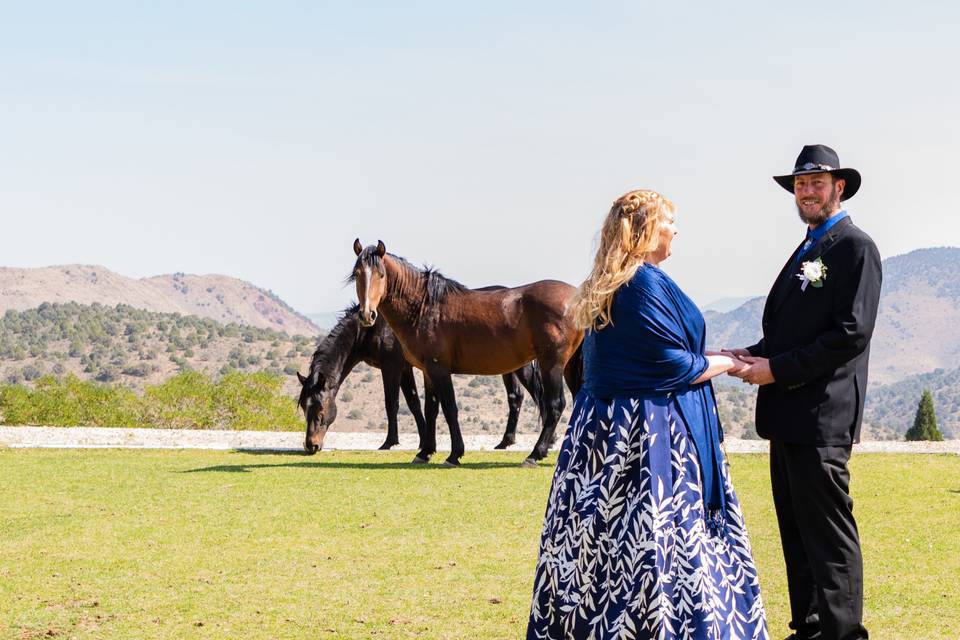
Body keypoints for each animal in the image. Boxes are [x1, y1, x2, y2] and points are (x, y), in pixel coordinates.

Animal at [296, 304, 544, 456]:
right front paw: (424, 441)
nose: (311, 445)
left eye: (320, 412)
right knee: (516, 397)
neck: (371, 328)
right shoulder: (406, 370)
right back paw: (505, 441)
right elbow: (415, 404)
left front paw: (389, 442)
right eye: (304, 409)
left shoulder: (392, 367)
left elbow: (392, 404)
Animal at [350, 239, 580, 464]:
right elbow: (431, 409)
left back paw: (535, 454)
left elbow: (450, 408)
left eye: (381, 274)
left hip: (552, 364)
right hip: (568, 366)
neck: (424, 307)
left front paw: (454, 454)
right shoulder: (428, 371)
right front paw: (425, 452)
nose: (367, 315)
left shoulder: (439, 369)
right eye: (357, 274)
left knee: (555, 405)